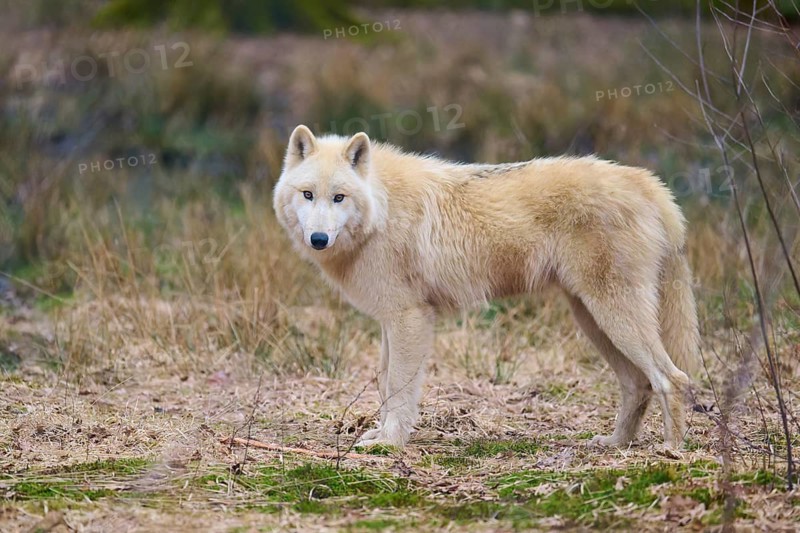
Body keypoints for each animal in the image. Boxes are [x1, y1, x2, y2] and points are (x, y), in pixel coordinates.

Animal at [273, 125, 700, 450]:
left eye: (339, 197)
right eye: (307, 194)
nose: (318, 239)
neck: (382, 208)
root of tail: (648, 183)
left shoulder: (410, 319)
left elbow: (398, 387)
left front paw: (389, 444)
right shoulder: (390, 322)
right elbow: (383, 383)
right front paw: (381, 434)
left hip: (613, 316)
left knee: (672, 378)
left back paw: (671, 451)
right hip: (592, 320)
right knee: (638, 384)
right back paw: (615, 444)